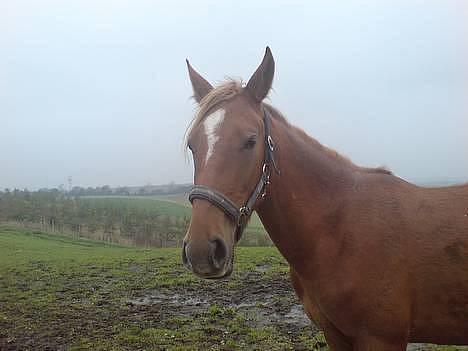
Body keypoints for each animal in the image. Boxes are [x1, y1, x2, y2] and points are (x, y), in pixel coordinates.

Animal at [180, 47, 468, 351]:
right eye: (193, 145)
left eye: (251, 141)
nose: (201, 250)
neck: (337, 231)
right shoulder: (335, 334)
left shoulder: (382, 338)